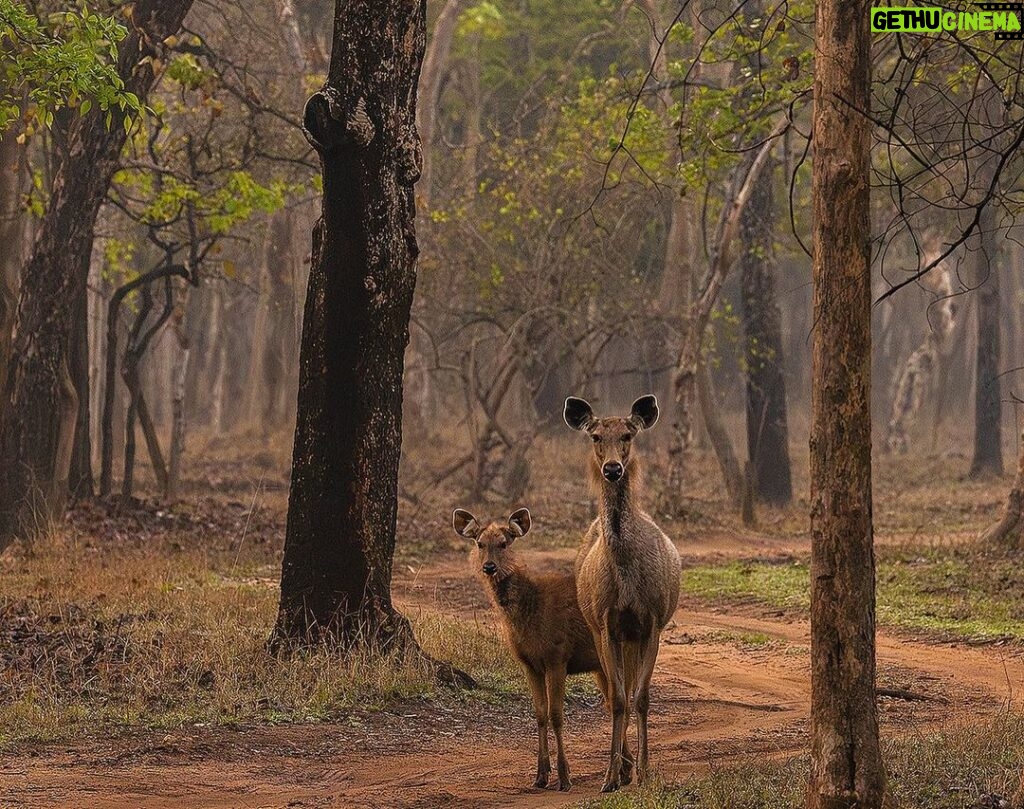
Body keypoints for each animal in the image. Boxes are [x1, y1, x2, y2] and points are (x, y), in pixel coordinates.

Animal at [452, 507, 602, 790]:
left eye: (504, 543)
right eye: (479, 543)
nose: (489, 567)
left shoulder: (557, 657)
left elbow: (556, 714)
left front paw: (565, 777)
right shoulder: (529, 664)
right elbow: (540, 714)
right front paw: (540, 775)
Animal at [569, 395, 679, 794]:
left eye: (628, 435)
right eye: (596, 436)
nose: (613, 468)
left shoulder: (653, 622)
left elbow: (642, 697)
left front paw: (646, 771)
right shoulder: (605, 624)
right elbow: (618, 699)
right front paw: (610, 776)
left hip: (634, 635)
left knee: (631, 690)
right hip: (603, 632)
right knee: (613, 695)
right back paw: (623, 767)